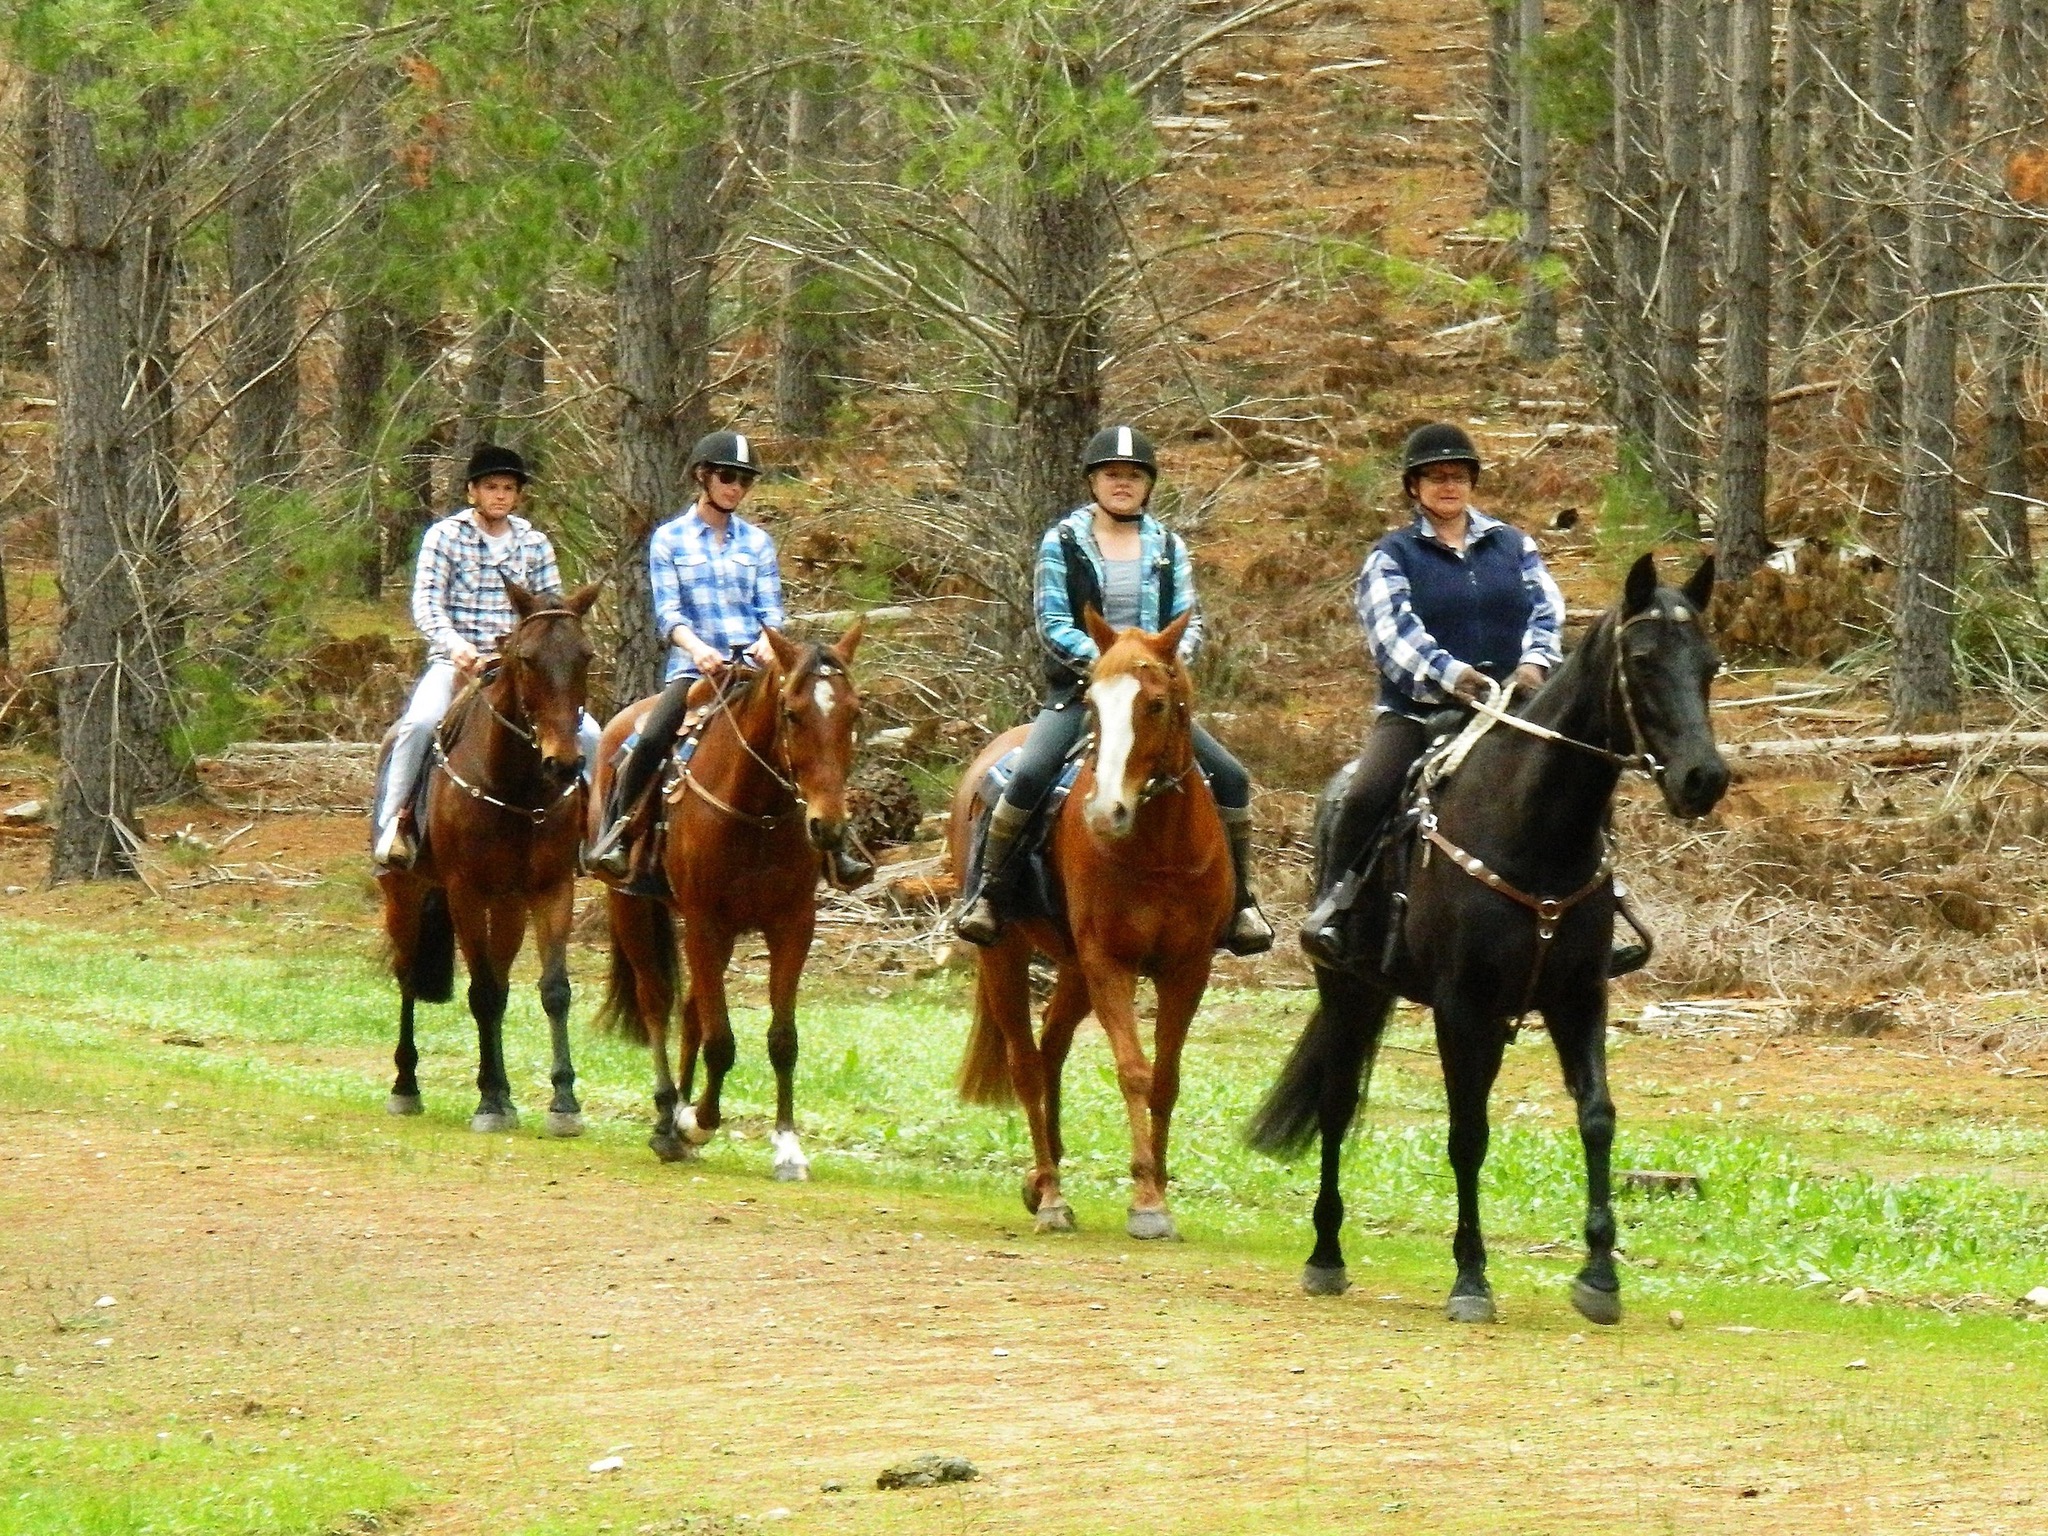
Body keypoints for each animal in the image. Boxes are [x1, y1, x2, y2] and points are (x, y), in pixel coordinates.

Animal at [378, 580, 602, 1134]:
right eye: (526, 658)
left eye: (585, 655)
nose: (563, 762)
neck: (518, 788)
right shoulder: (464, 891)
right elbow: (480, 993)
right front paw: (487, 1103)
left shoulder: (551, 888)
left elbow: (552, 990)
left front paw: (563, 1102)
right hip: (404, 895)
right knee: (409, 978)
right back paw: (406, 1086)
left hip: (507, 907)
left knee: (499, 983)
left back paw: (502, 1091)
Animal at [595, 621, 865, 1174]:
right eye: (792, 712)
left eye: (854, 713)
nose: (828, 827)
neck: (756, 812)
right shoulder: (704, 921)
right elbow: (720, 1041)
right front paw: (697, 1122)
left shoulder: (792, 924)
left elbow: (782, 1040)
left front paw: (787, 1146)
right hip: (630, 904)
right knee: (658, 1003)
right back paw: (667, 1119)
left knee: (692, 1010)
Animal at [951, 608, 1235, 1240]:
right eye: (1092, 702)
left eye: (1156, 703)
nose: (1106, 812)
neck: (1159, 850)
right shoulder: (1111, 962)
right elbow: (1133, 1070)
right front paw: (1148, 1201)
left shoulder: (1188, 968)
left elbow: (1166, 1079)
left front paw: (1159, 1194)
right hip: (1005, 955)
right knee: (1027, 1064)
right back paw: (1052, 1198)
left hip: (1074, 970)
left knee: (1051, 1050)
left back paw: (1041, 1179)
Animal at [1248, 553, 1728, 1323]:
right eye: (1645, 660)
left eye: (1710, 664)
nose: (1702, 779)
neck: (1533, 828)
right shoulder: (1459, 1006)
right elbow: (1467, 1134)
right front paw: (1471, 1278)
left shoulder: (1577, 998)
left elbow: (1597, 1117)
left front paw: (1600, 1277)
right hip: (1350, 988)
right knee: (1337, 1104)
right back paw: (1326, 1255)